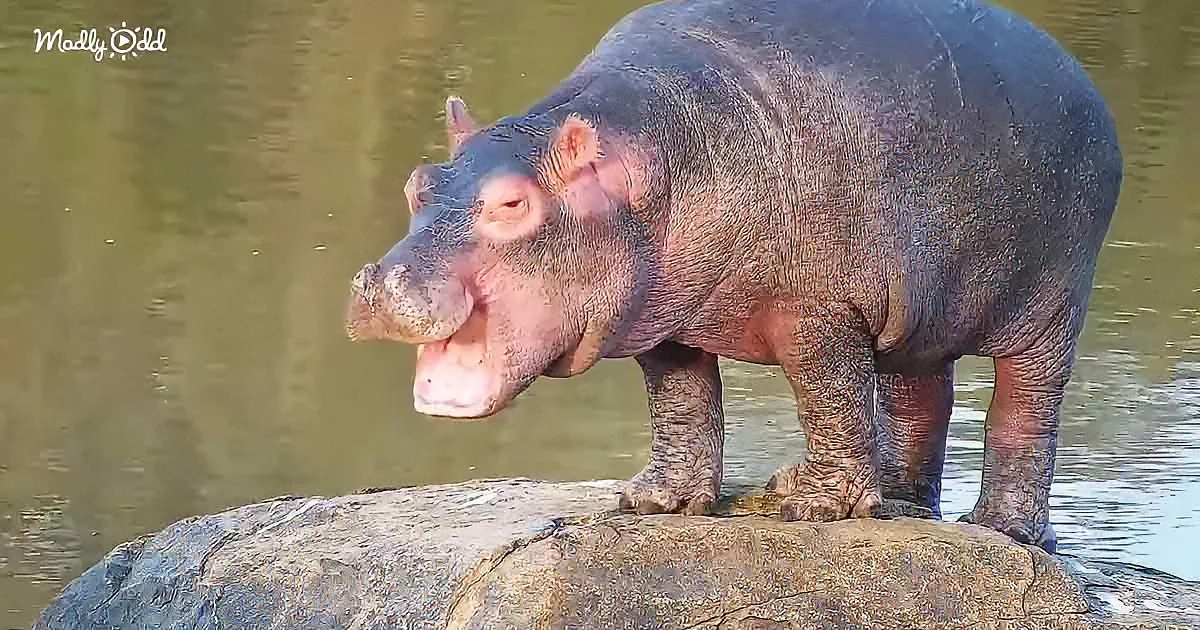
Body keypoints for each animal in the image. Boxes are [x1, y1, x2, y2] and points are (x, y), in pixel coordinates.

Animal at [345, 0, 1122, 552]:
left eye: (512, 202)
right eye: (419, 183)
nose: (381, 283)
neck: (647, 160)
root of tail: (1080, 77)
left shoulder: (821, 309)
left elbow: (830, 397)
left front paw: (812, 504)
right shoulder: (660, 317)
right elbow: (682, 400)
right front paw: (657, 500)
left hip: (1051, 308)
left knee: (1025, 413)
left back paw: (1003, 529)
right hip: (920, 317)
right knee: (921, 400)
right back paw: (902, 505)